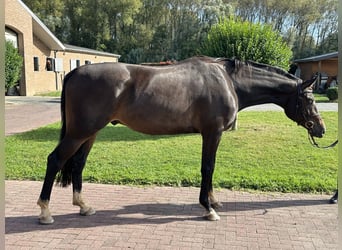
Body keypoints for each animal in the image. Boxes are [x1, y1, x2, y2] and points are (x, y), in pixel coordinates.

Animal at [37, 55, 326, 224]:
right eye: (309, 99)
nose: (321, 129)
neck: (228, 81)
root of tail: (74, 73)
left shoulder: (213, 134)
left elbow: (211, 168)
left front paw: (213, 201)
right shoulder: (212, 132)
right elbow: (207, 167)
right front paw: (208, 208)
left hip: (90, 133)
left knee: (77, 164)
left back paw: (83, 206)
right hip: (79, 132)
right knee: (54, 160)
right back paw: (45, 212)